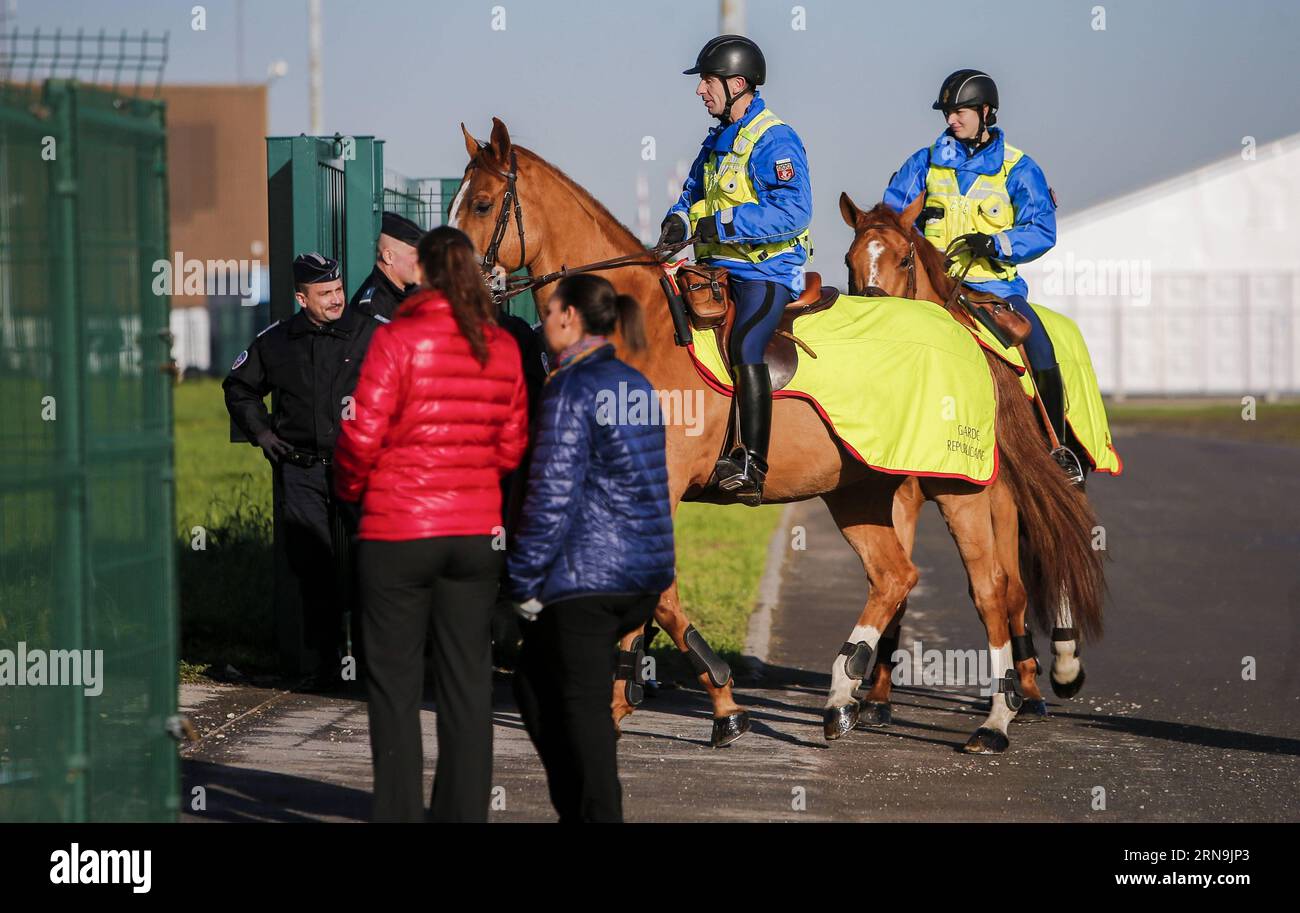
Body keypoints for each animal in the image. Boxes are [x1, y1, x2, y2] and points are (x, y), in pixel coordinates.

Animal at [837, 195, 1102, 723]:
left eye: (904, 259)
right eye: (850, 259)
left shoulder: (998, 497)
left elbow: (1008, 588)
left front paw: (1024, 688)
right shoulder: (902, 496)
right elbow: (899, 586)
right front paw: (877, 697)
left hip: (1053, 483)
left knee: (1046, 560)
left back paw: (1055, 671)